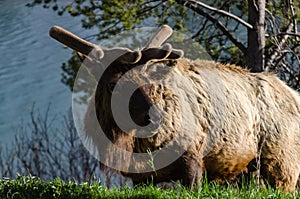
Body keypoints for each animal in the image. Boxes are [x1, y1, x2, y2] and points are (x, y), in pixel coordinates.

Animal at [49, 25, 300, 191]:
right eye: (113, 84)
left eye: (150, 82)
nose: (154, 117)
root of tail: (294, 95)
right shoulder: (140, 177)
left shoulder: (192, 158)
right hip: (250, 170)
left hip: (283, 164)